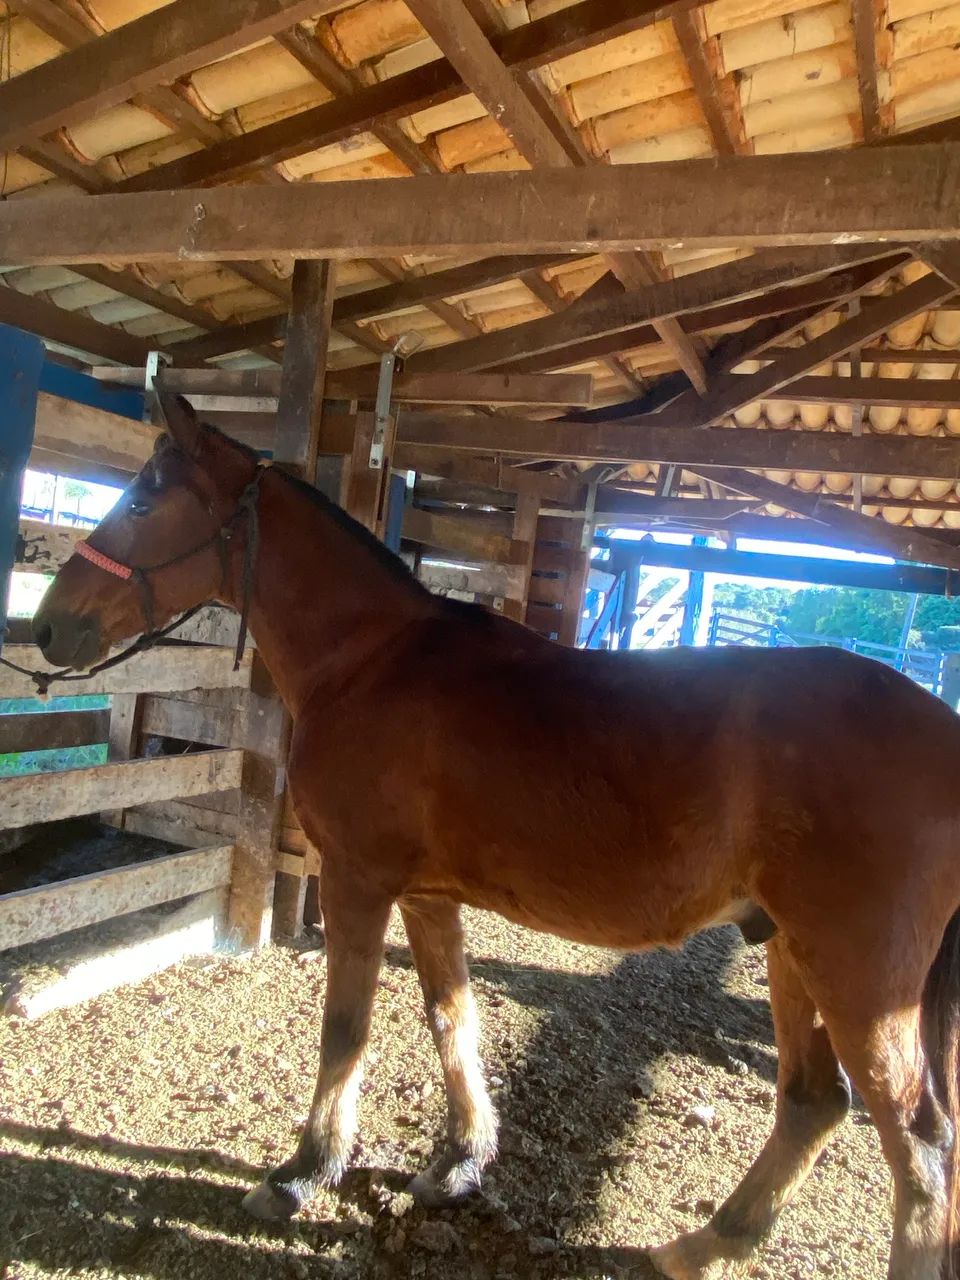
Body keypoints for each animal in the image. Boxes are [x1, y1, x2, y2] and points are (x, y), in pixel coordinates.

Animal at [31, 393, 960, 1280]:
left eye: (143, 502)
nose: (45, 627)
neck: (370, 660)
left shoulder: (357, 882)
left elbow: (347, 1027)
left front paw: (305, 1170)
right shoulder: (426, 897)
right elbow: (454, 1017)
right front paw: (461, 1161)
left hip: (857, 975)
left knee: (917, 1145)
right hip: (789, 950)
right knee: (814, 1102)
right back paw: (705, 1245)